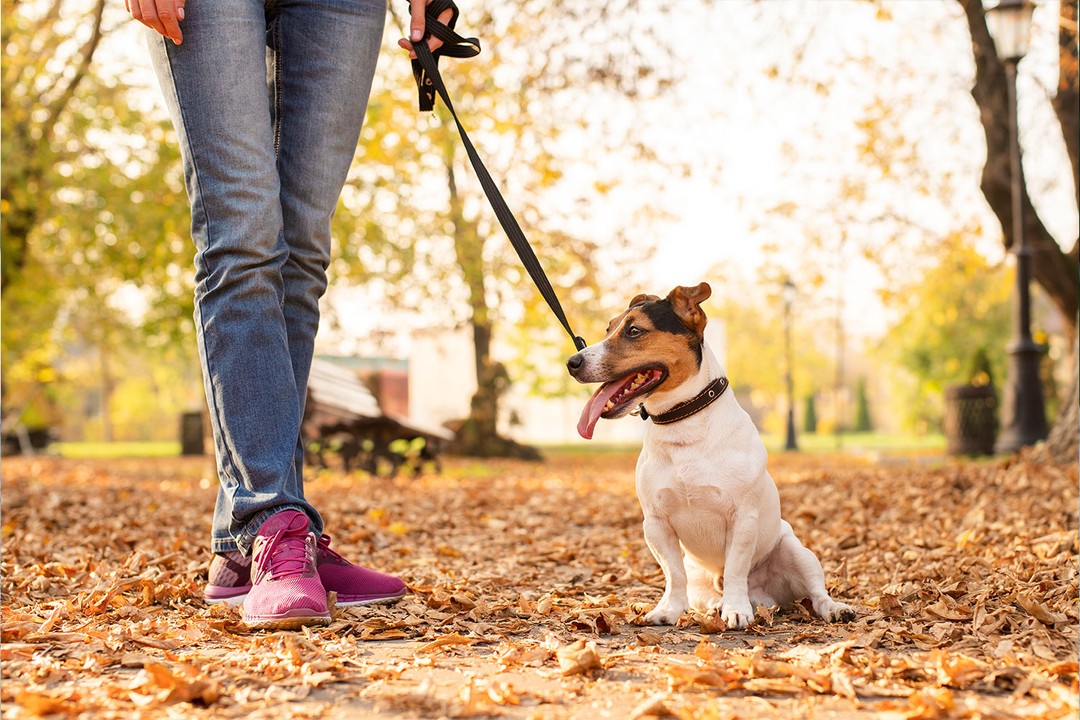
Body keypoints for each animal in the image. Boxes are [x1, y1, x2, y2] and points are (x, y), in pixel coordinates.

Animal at [570, 284, 855, 626]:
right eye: (608, 329)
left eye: (634, 330)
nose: (572, 362)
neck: (684, 424)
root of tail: (766, 598)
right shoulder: (656, 523)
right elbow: (673, 573)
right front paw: (669, 609)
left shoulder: (742, 518)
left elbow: (735, 569)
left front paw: (736, 609)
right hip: (700, 579)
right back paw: (715, 606)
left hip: (798, 553)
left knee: (815, 592)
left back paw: (832, 608)